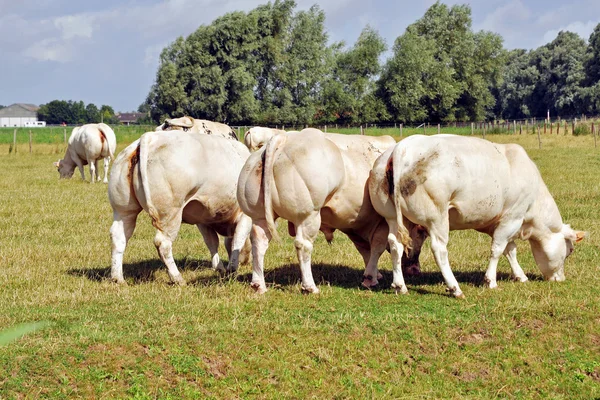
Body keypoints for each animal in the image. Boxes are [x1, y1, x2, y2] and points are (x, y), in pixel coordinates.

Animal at [109, 130, 252, 284]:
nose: (246, 262)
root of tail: (151, 137)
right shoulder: (244, 216)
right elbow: (238, 239)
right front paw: (232, 269)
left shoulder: (203, 219)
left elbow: (212, 242)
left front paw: (219, 267)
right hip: (170, 214)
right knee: (163, 243)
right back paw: (177, 278)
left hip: (123, 211)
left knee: (118, 238)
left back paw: (118, 278)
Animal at [236, 128, 398, 294]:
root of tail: (284, 137)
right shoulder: (382, 221)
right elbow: (377, 247)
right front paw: (371, 277)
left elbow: (366, 250)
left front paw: (373, 274)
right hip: (308, 216)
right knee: (303, 246)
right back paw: (309, 287)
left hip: (259, 216)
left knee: (258, 241)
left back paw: (258, 284)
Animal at [368, 134, 584, 296]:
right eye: (569, 251)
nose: (560, 279)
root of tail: (401, 148)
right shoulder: (512, 218)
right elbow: (498, 249)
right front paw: (490, 280)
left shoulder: (501, 223)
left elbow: (510, 250)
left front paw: (520, 276)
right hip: (437, 218)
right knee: (439, 249)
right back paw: (454, 288)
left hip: (393, 217)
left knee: (395, 244)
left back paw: (400, 285)